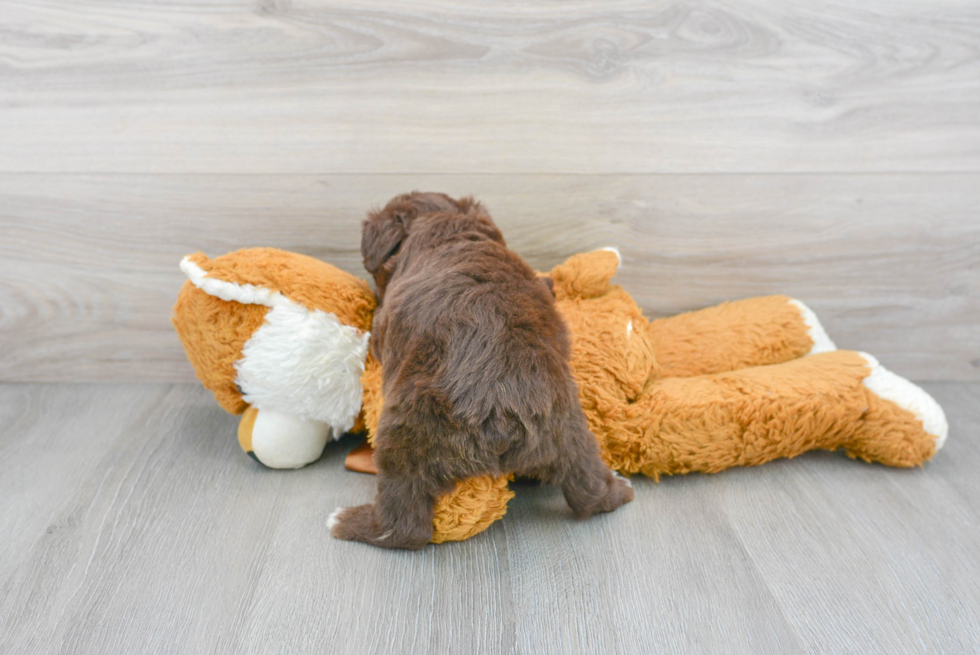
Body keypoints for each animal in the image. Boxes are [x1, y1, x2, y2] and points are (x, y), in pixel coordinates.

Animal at [330, 193, 636, 548]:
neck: (448, 229)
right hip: (573, 435)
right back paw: (619, 488)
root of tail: (504, 417)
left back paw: (346, 521)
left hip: (402, 439)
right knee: (589, 490)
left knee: (405, 525)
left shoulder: (384, 325)